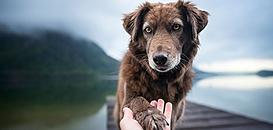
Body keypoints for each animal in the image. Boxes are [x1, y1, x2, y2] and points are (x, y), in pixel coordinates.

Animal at [113, 1, 207, 130]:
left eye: (176, 26)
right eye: (147, 29)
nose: (159, 59)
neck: (161, 79)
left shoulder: (174, 114)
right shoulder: (127, 101)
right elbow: (137, 100)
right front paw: (151, 115)